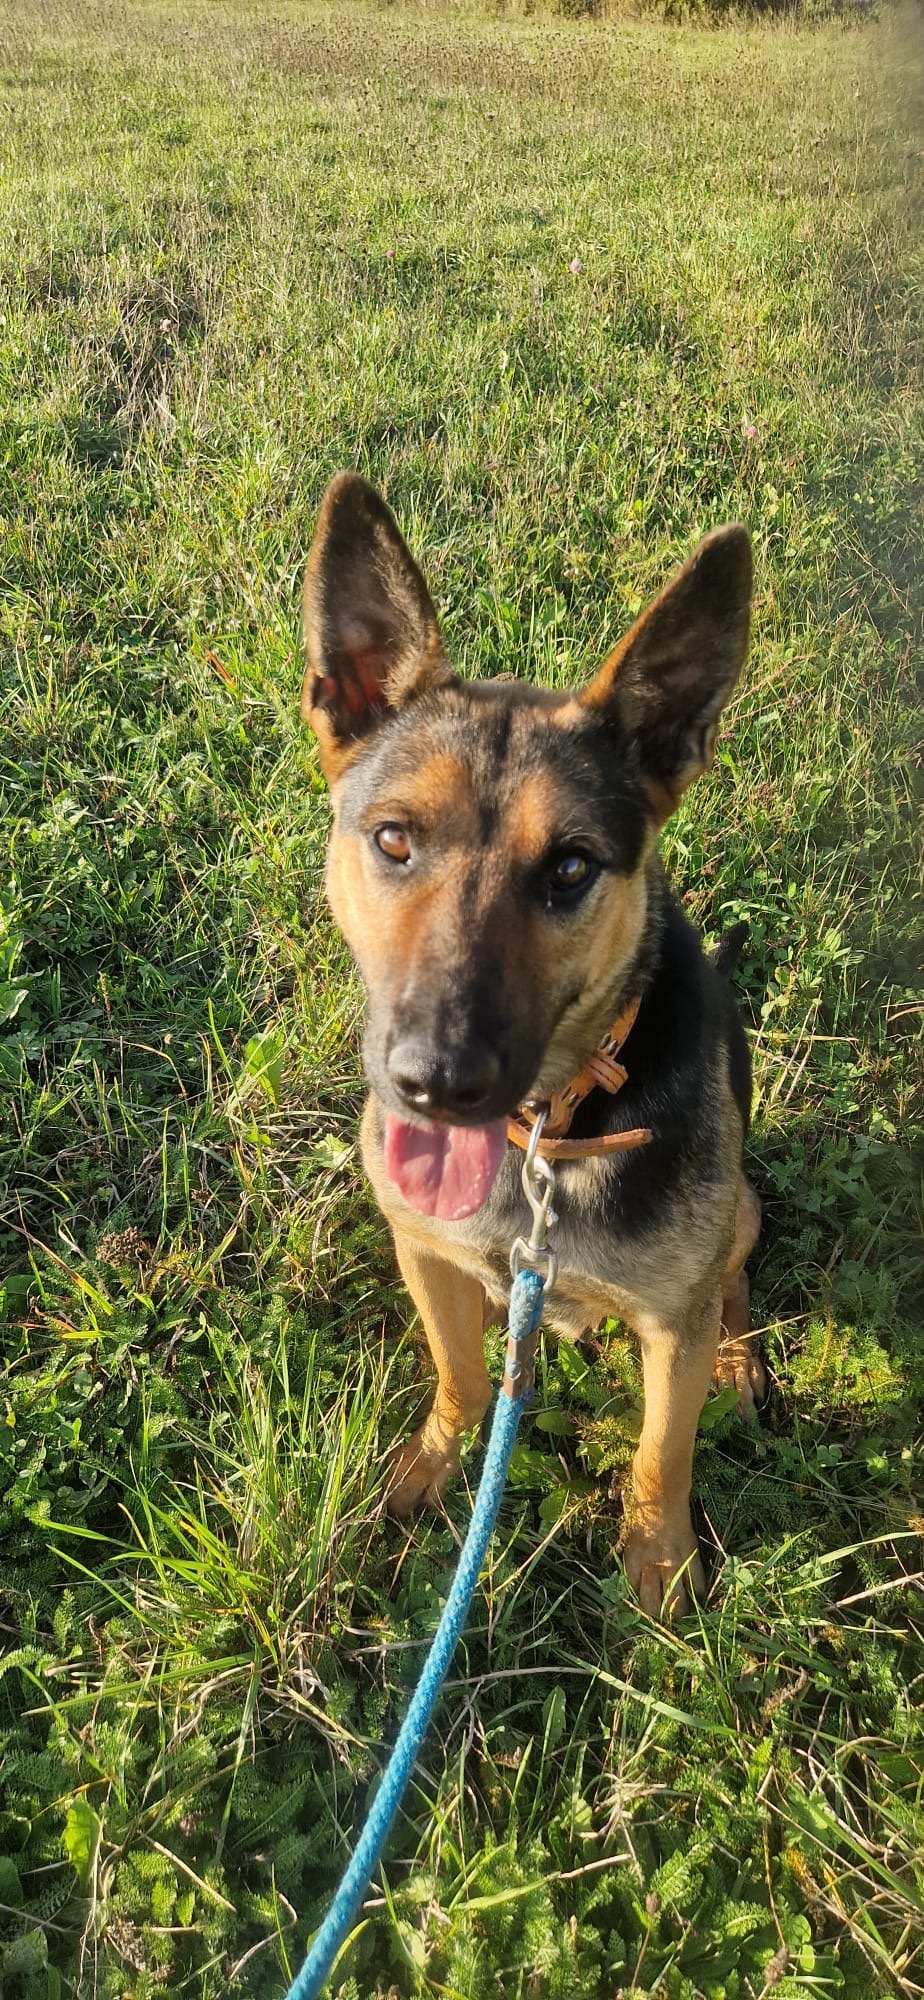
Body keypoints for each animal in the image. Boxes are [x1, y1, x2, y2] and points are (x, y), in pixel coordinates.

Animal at [300, 472, 764, 1618]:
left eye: (569, 868)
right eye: (393, 839)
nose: (436, 1083)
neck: (549, 1131)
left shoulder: (669, 1325)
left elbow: (661, 1453)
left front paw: (660, 1564)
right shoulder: (426, 1249)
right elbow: (464, 1376)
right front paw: (434, 1465)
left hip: (737, 1209)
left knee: (733, 1280)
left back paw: (740, 1359)